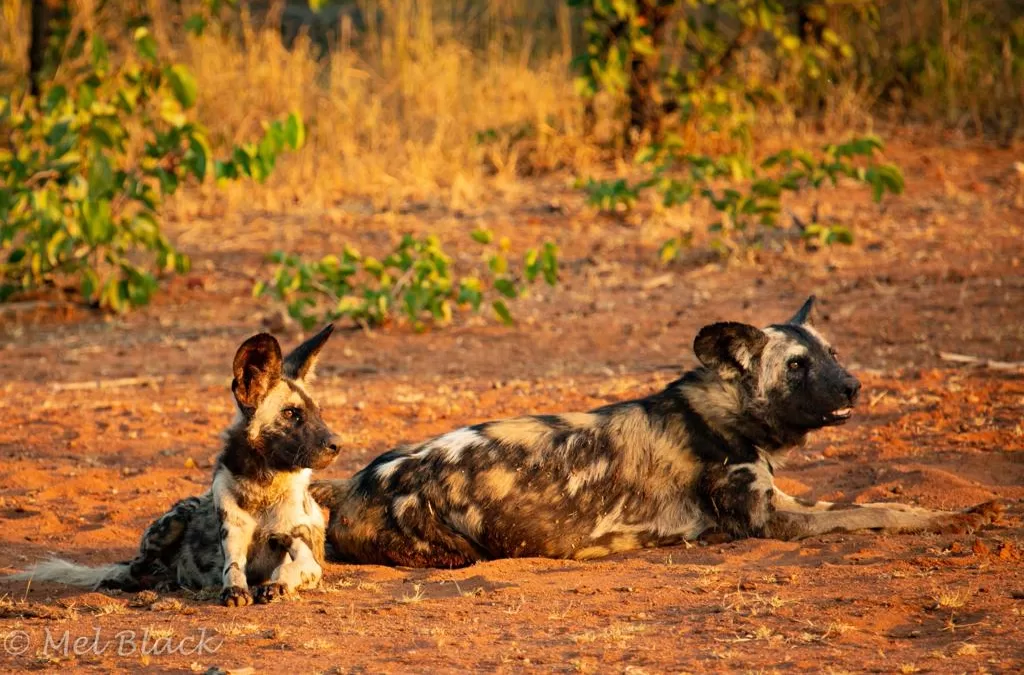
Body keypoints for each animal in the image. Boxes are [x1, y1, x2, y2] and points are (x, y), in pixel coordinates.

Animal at [4, 325, 339, 606]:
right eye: (291, 413)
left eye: (319, 413)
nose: (337, 443)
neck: (263, 487)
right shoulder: (232, 538)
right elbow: (232, 569)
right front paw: (235, 589)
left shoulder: (307, 557)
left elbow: (294, 568)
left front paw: (277, 584)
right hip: (169, 524)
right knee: (134, 568)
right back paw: (134, 582)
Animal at [311, 299, 999, 569]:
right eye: (797, 366)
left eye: (833, 354)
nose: (853, 386)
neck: (722, 410)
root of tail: (363, 482)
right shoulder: (771, 521)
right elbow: (879, 510)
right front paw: (956, 515)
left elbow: (875, 503)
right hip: (456, 549)